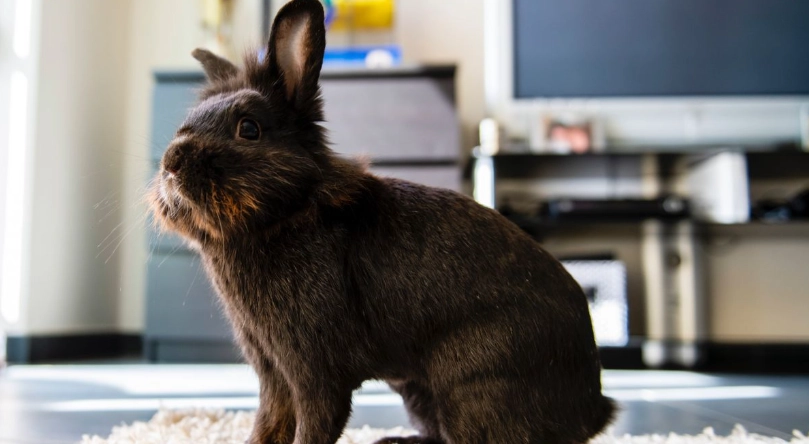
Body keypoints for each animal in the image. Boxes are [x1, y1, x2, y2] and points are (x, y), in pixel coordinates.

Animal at [148, 0, 615, 443]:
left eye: (248, 129)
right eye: (186, 122)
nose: (171, 163)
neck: (288, 213)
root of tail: (592, 408)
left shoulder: (314, 370)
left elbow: (315, 422)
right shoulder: (272, 371)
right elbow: (269, 421)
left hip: (471, 387)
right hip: (418, 392)